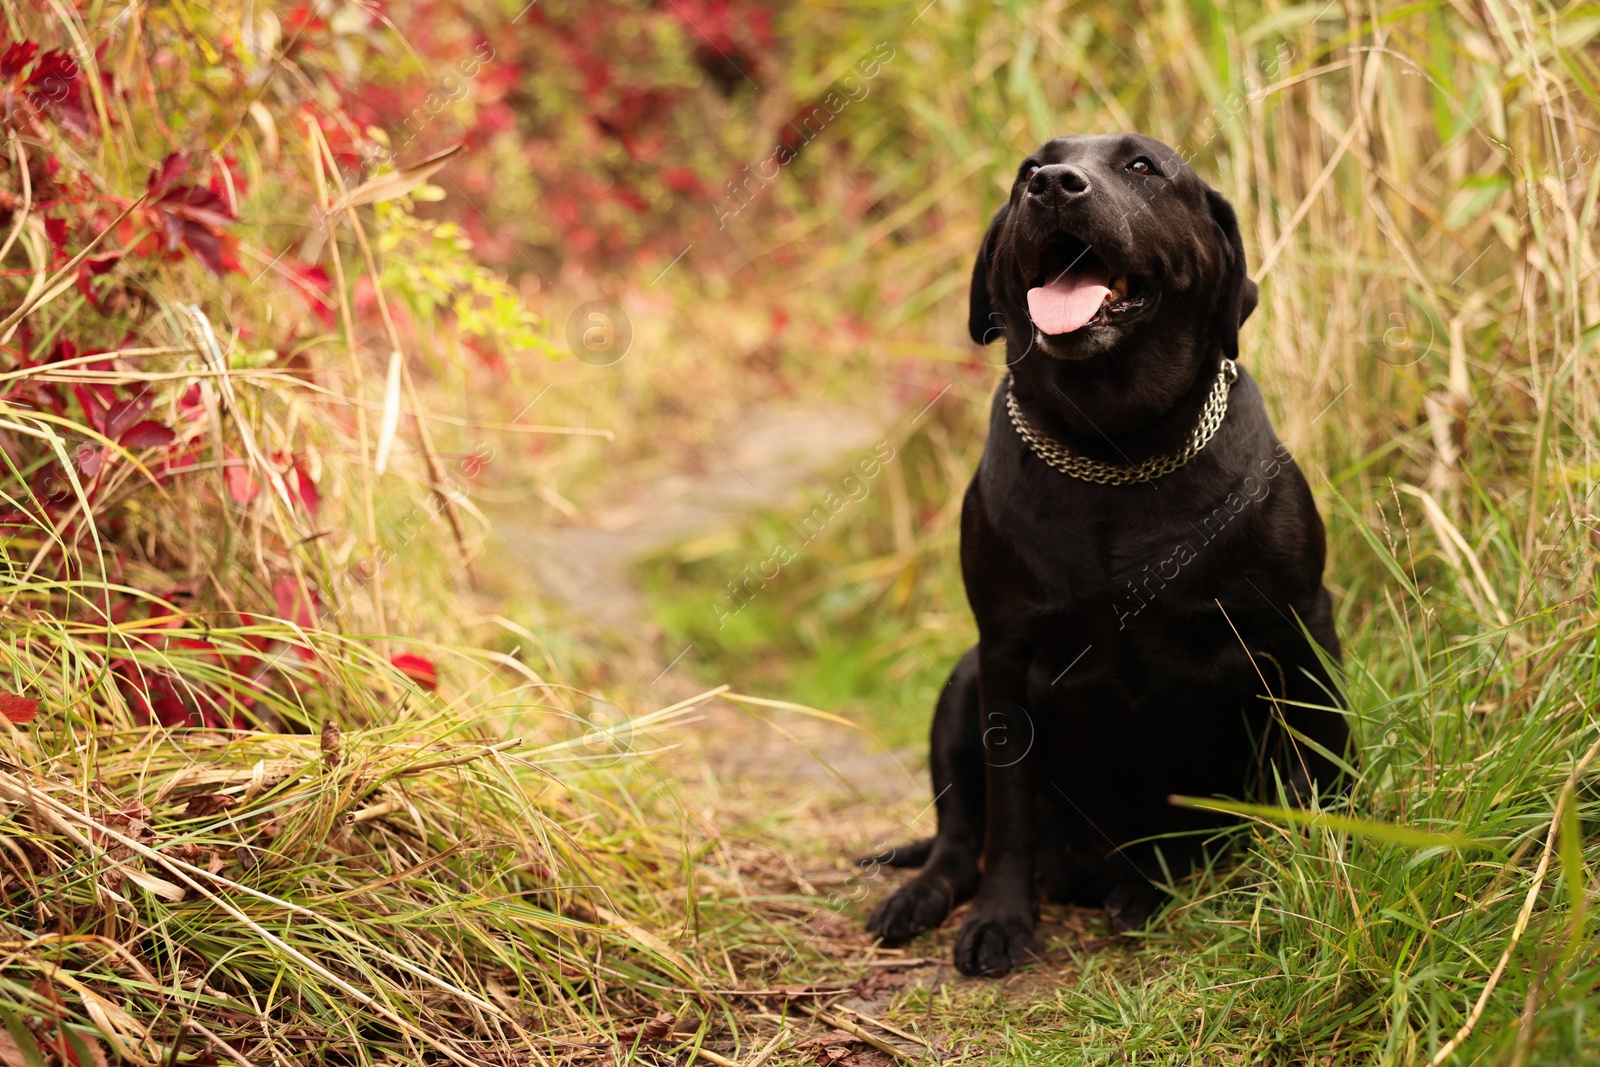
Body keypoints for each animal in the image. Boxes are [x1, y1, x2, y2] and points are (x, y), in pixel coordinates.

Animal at [870, 131, 1344, 979]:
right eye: (1028, 171)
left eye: (1142, 167)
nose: (1055, 185)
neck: (1113, 448)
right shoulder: (1004, 652)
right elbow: (1009, 816)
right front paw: (1001, 921)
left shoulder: (1296, 624)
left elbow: (1319, 761)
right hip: (961, 682)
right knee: (960, 840)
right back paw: (920, 897)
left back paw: (1145, 890)